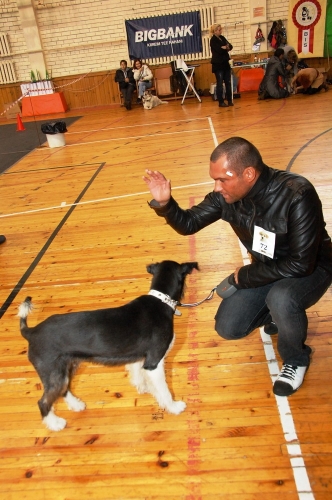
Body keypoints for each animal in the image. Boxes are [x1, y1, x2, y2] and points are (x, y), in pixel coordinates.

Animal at [18, 262, 198, 430]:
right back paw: (55, 424)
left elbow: (138, 374)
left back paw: (76, 405)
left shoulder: (139, 358)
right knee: (43, 402)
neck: (161, 300)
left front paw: (144, 387)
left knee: (64, 390)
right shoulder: (155, 361)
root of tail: (31, 332)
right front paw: (173, 407)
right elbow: (164, 390)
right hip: (54, 374)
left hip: (66, 368)